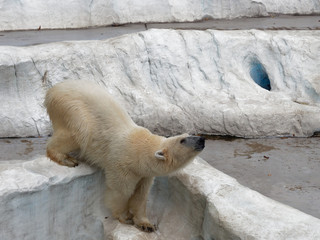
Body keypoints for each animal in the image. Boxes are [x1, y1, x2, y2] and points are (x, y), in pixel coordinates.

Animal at [43, 80, 205, 232]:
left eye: (189, 134)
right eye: (183, 140)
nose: (201, 139)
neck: (139, 149)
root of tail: (52, 90)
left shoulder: (145, 174)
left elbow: (141, 195)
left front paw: (146, 224)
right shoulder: (122, 165)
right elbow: (121, 191)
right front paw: (125, 217)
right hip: (71, 108)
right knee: (79, 132)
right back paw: (66, 159)